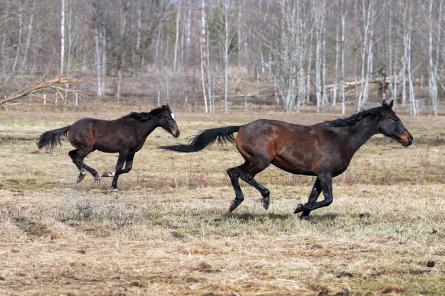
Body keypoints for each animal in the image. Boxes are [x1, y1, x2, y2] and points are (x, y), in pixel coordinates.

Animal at [36, 105, 179, 188]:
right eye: (167, 117)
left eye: (173, 116)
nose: (177, 133)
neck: (136, 128)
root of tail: (71, 127)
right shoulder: (123, 150)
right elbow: (119, 166)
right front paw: (113, 184)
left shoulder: (132, 152)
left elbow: (127, 168)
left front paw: (108, 174)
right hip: (87, 148)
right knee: (77, 158)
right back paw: (93, 175)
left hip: (87, 148)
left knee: (72, 155)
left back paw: (82, 176)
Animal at [163, 100, 412, 219]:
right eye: (394, 119)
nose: (409, 139)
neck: (341, 138)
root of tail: (242, 127)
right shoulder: (326, 174)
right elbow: (328, 199)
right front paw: (298, 208)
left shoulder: (319, 176)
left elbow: (315, 197)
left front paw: (304, 215)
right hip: (261, 161)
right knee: (242, 174)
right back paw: (263, 199)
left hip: (253, 160)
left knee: (233, 172)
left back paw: (235, 203)